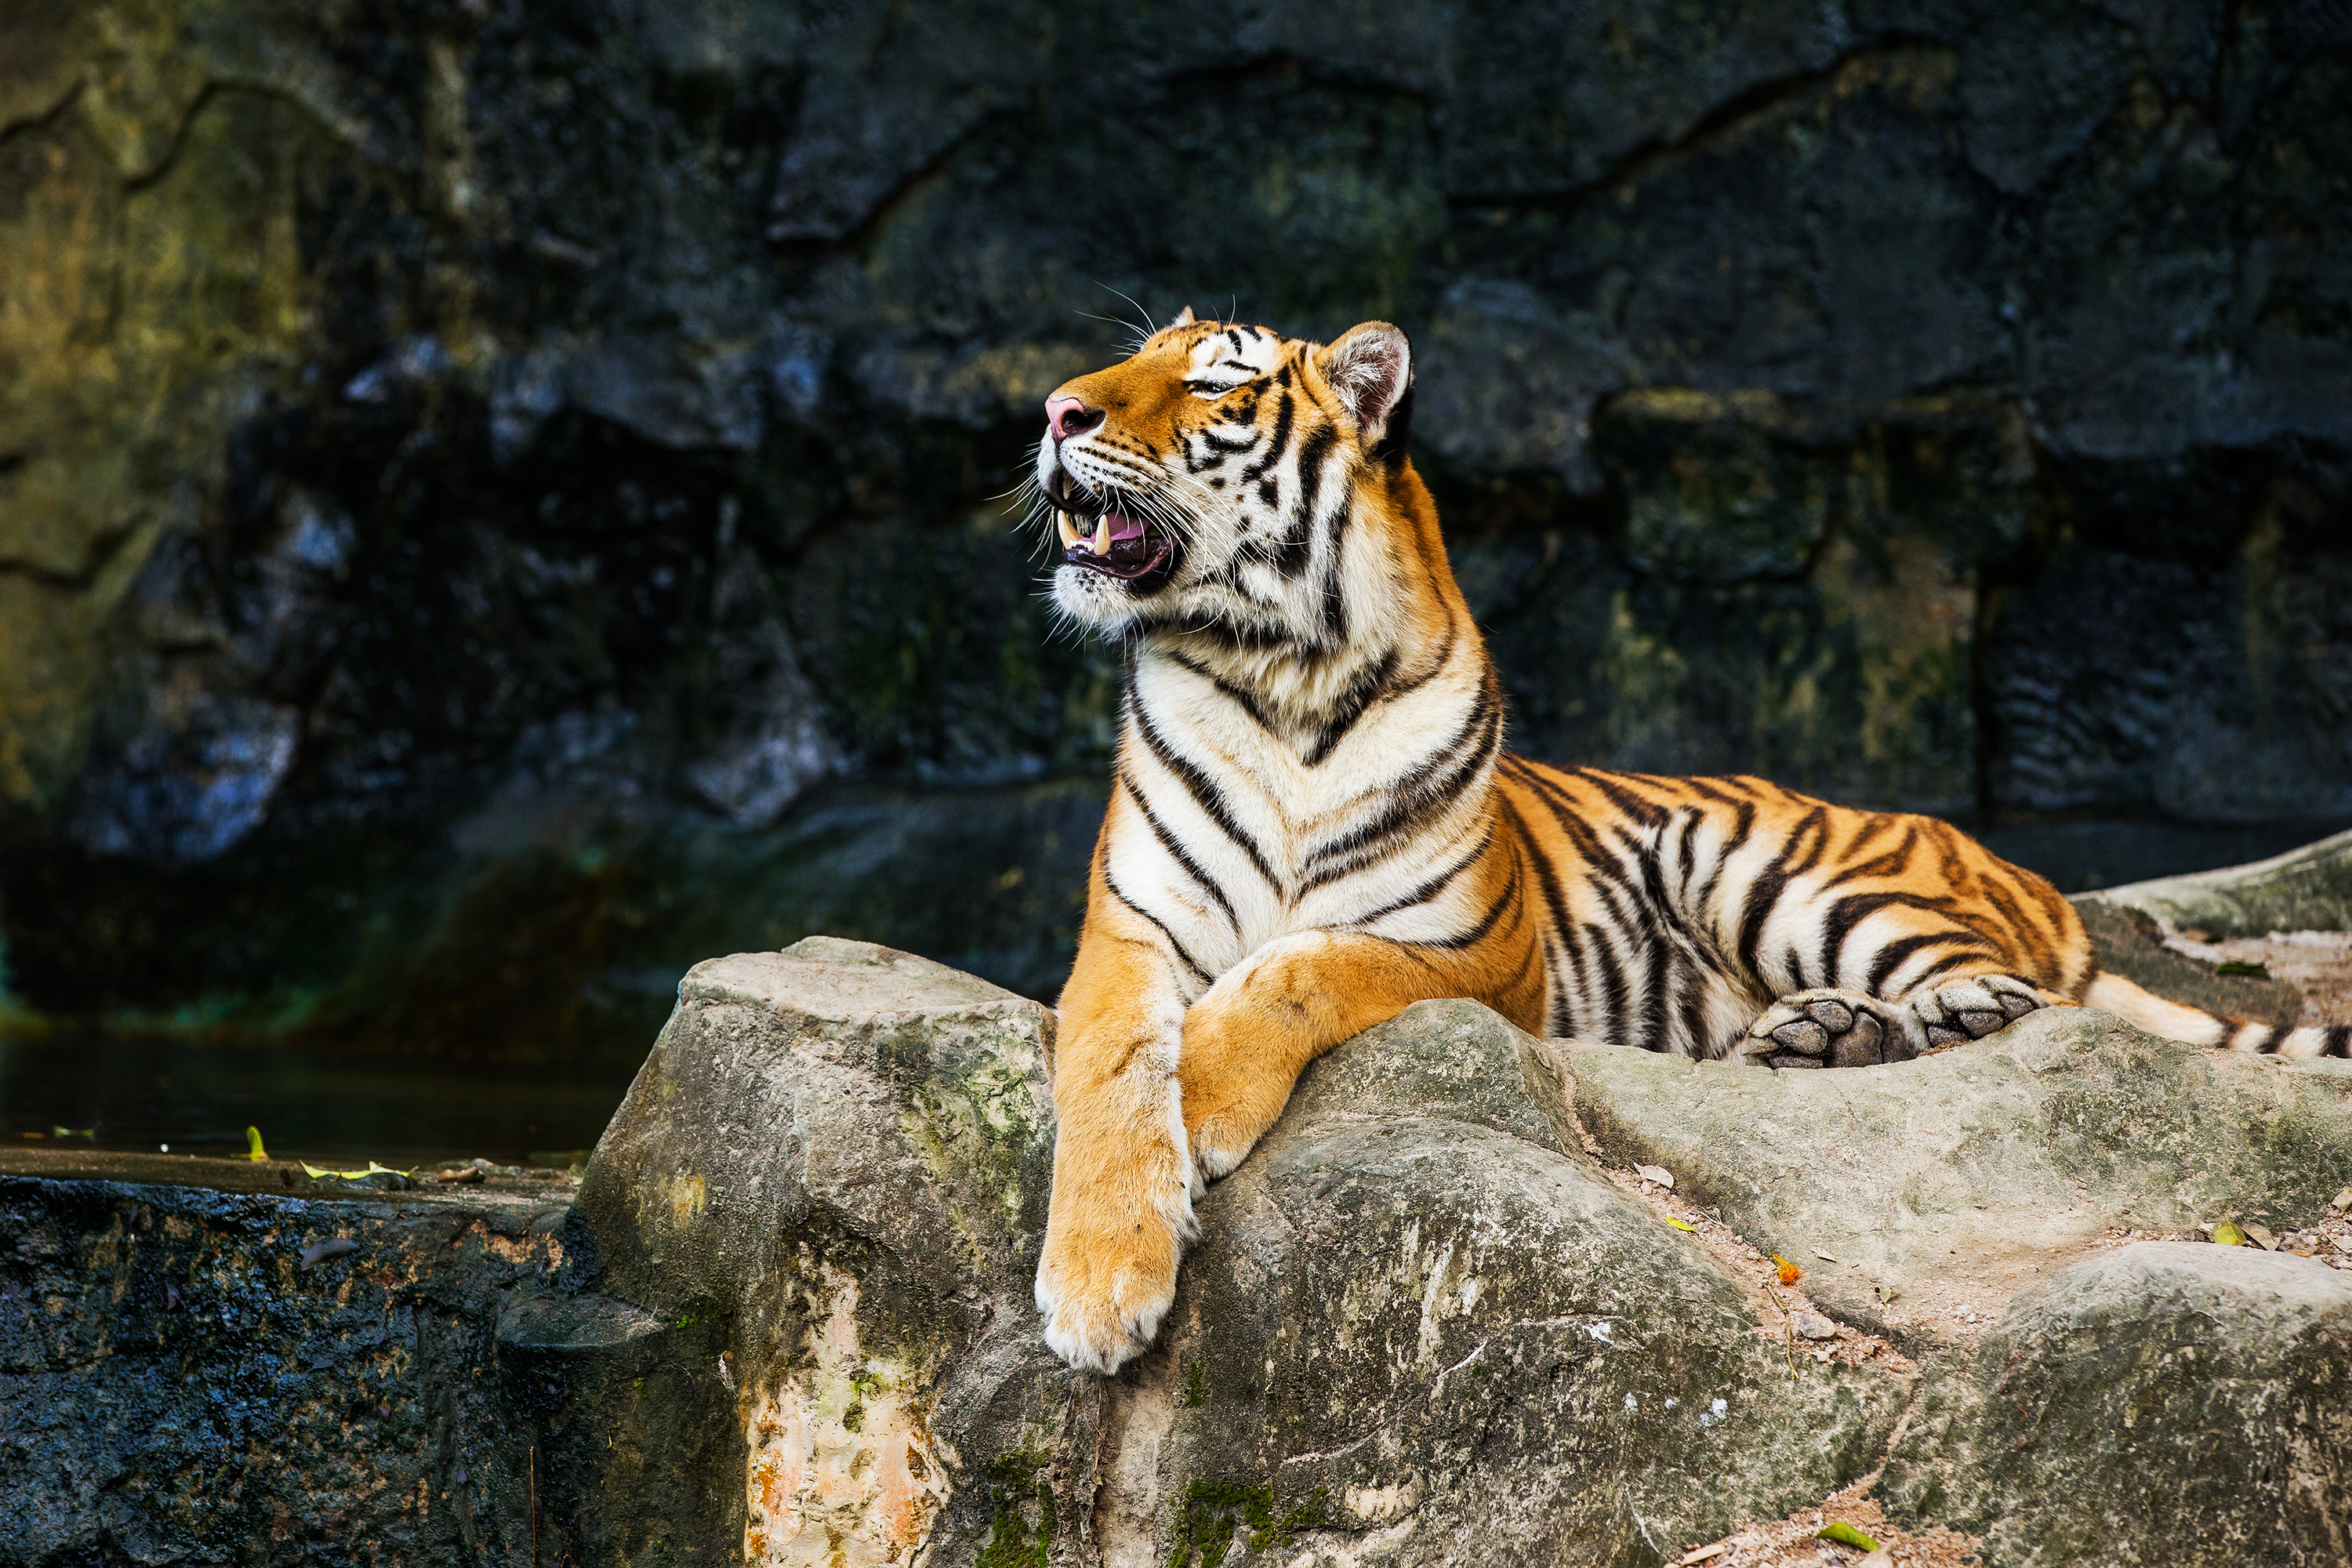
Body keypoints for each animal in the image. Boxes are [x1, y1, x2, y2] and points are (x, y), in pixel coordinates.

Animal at [1027, 308, 2352, 1375]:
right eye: (1131, 358)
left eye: (1212, 382)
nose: (1054, 411)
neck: (1279, 681)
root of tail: (2023, 872)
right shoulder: (1128, 932)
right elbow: (1104, 1077)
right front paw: (1100, 1289)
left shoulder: (1474, 952)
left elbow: (1301, 969)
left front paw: (1203, 1093)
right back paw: (1813, 1040)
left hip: (1789, 878)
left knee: (2007, 998)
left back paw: (1894, 1022)